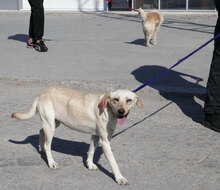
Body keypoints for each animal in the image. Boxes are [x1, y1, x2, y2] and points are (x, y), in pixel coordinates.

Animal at [12, 87, 143, 185]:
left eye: (129, 100)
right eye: (116, 99)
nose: (121, 111)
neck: (109, 110)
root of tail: (42, 93)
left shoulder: (95, 136)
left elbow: (91, 151)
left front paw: (89, 164)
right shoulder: (105, 141)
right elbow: (114, 163)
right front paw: (120, 178)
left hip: (54, 123)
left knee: (41, 131)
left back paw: (41, 148)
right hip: (50, 125)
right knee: (48, 145)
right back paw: (51, 162)